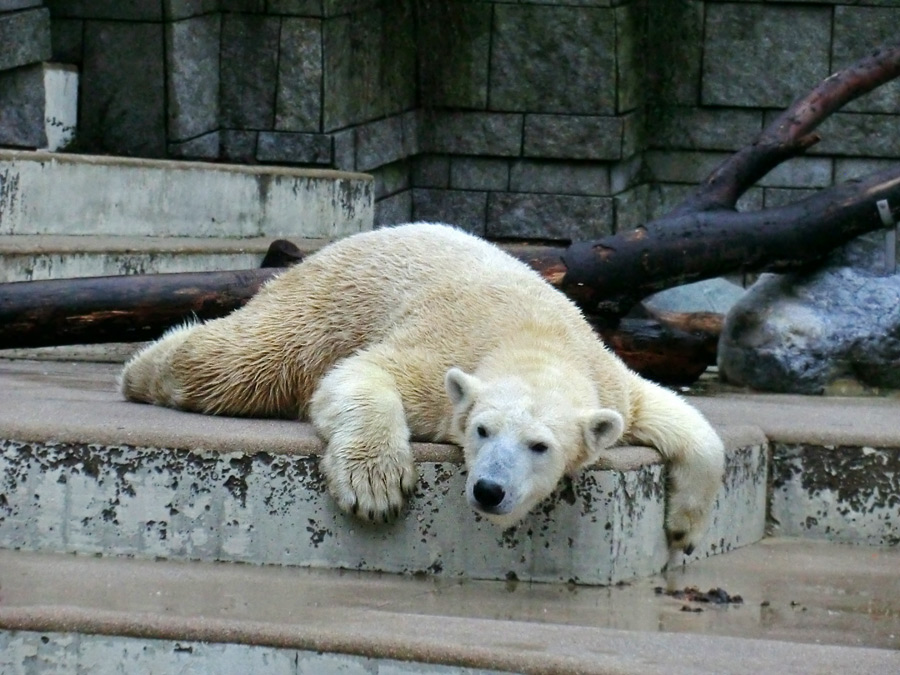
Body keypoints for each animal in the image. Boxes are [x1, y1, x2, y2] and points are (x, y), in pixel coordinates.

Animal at [119, 224, 724, 552]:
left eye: (540, 446)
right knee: (243, 362)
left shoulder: (608, 379)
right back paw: (144, 367)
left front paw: (684, 531)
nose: (489, 490)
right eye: (481, 430)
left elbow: (679, 418)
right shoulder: (443, 358)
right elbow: (361, 375)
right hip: (329, 301)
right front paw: (374, 485)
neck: (536, 341)